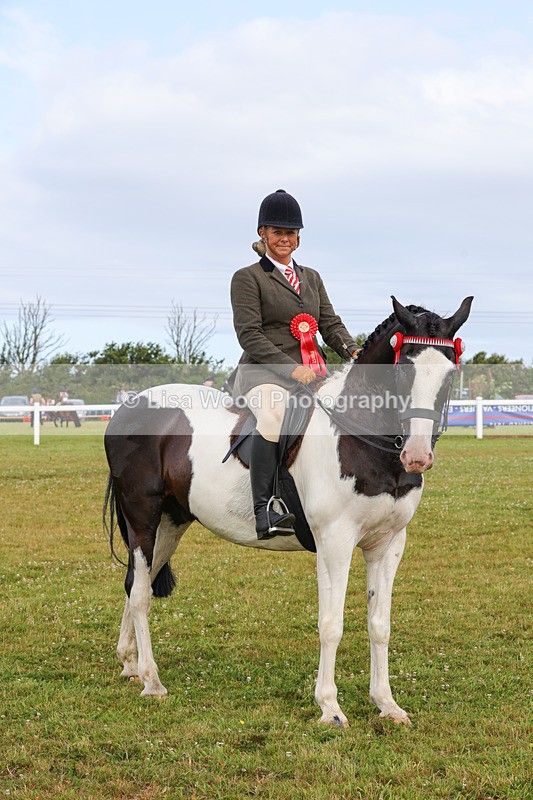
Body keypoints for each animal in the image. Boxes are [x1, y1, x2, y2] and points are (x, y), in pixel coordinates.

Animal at [103, 295, 473, 726]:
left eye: (449, 374)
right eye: (402, 370)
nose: (416, 456)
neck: (360, 436)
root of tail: (128, 407)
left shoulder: (388, 544)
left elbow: (379, 624)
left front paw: (386, 704)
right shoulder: (335, 541)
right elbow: (331, 624)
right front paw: (330, 707)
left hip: (170, 523)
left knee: (137, 584)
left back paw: (129, 664)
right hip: (142, 518)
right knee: (141, 594)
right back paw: (151, 680)